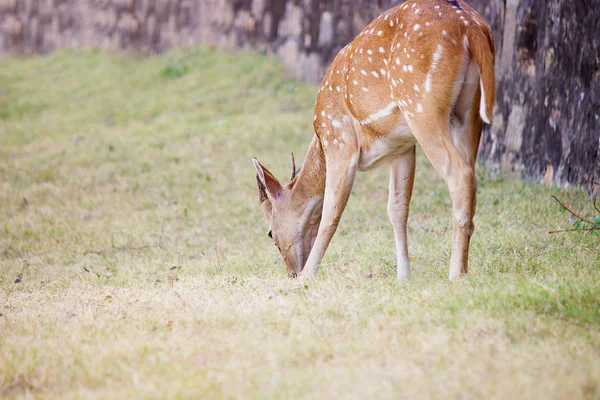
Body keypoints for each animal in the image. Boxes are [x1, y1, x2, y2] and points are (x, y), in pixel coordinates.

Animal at [251, 0, 494, 282]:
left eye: (271, 233)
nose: (292, 272)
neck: (320, 138)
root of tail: (471, 27)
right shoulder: (402, 147)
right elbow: (397, 209)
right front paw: (403, 275)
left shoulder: (340, 142)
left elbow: (331, 213)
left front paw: (308, 276)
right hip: (469, 110)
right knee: (470, 172)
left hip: (422, 106)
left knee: (459, 173)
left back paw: (456, 273)